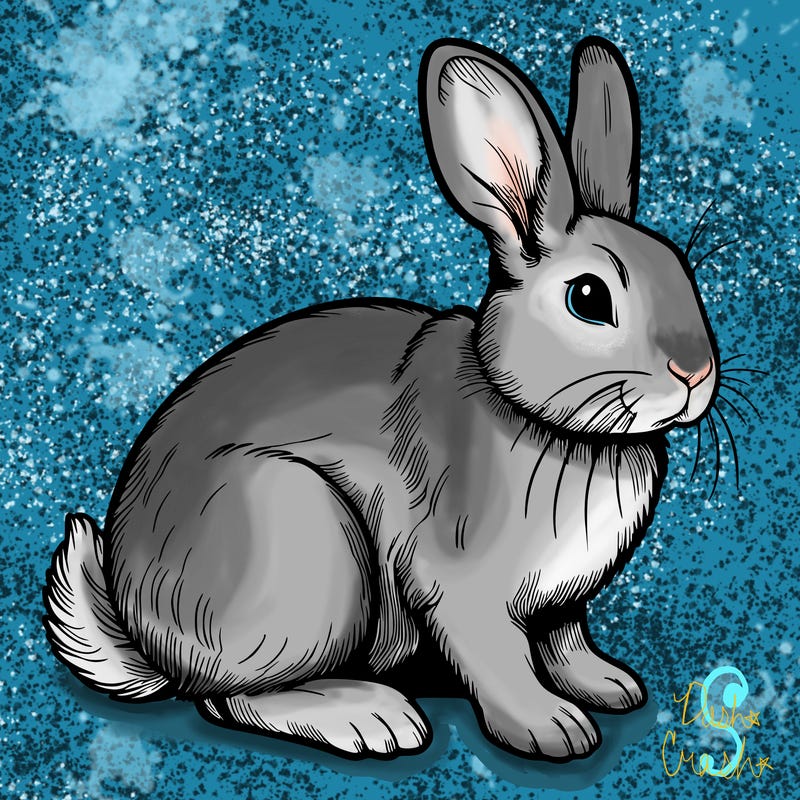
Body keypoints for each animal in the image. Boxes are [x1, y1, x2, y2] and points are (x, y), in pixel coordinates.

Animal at [43, 36, 719, 762]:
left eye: (681, 268)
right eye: (589, 298)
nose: (694, 372)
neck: (538, 416)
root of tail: (148, 637)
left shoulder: (560, 600)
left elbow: (565, 640)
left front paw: (609, 685)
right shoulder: (460, 586)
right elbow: (500, 659)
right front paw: (551, 729)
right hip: (303, 542)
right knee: (229, 697)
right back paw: (372, 717)